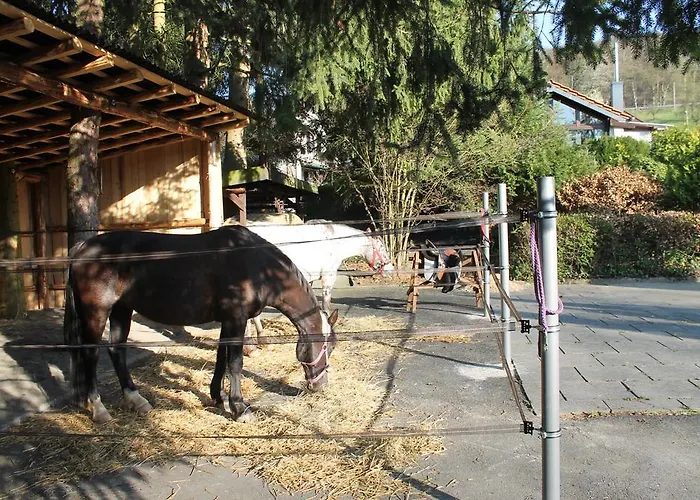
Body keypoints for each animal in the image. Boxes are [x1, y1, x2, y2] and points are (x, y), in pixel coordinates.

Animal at [63, 226, 338, 424]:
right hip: (97, 311)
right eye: (328, 347)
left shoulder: (228, 320)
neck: (256, 265)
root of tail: (81, 248)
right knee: (90, 355)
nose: (321, 385)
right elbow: (235, 363)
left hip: (122, 310)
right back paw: (99, 409)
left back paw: (136, 400)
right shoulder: (237, 319)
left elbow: (220, 358)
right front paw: (240, 408)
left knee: (116, 350)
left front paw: (218, 397)